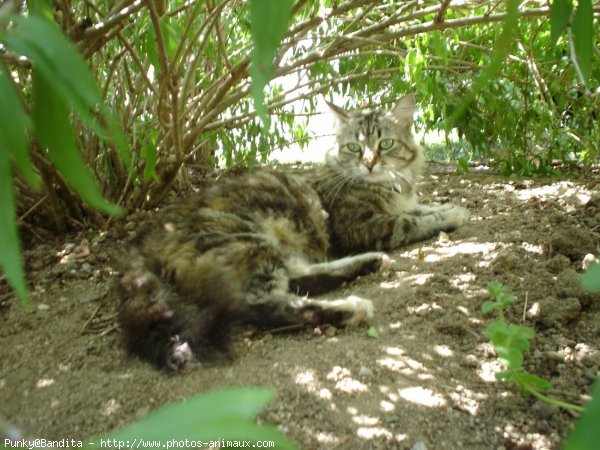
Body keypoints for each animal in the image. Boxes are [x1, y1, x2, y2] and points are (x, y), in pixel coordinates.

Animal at [119, 94, 468, 370]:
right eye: (353, 147)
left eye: (385, 144)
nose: (369, 164)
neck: (389, 186)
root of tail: (143, 237)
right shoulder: (364, 225)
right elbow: (412, 221)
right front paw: (451, 214)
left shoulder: (395, 207)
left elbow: (420, 209)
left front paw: (446, 206)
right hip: (248, 242)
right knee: (264, 304)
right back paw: (351, 308)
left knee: (300, 279)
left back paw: (370, 262)